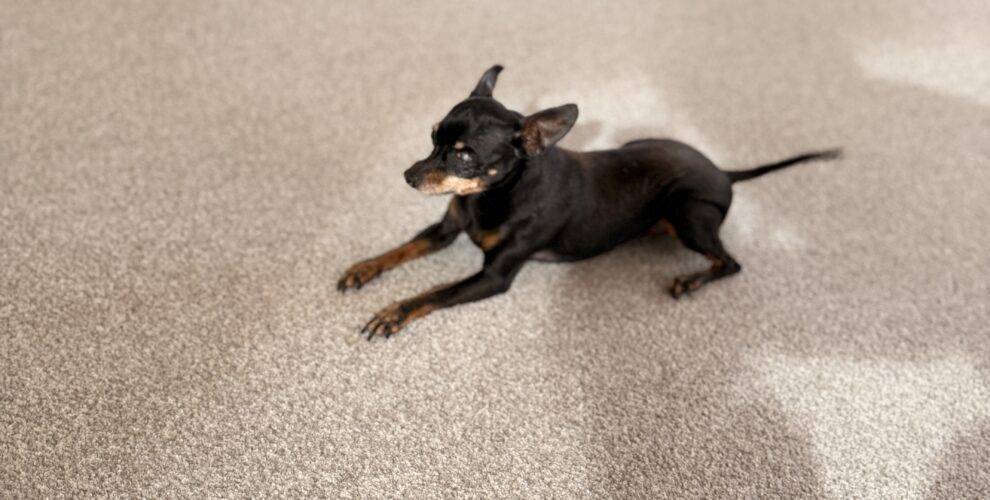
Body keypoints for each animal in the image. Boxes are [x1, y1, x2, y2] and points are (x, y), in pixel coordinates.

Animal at [339, 65, 840, 339]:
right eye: (433, 138)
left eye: (464, 155)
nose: (408, 176)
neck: (492, 197)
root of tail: (723, 172)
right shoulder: (445, 230)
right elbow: (399, 250)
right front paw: (362, 268)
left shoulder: (494, 277)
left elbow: (433, 293)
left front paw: (393, 312)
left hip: (689, 214)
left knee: (729, 263)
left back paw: (690, 281)